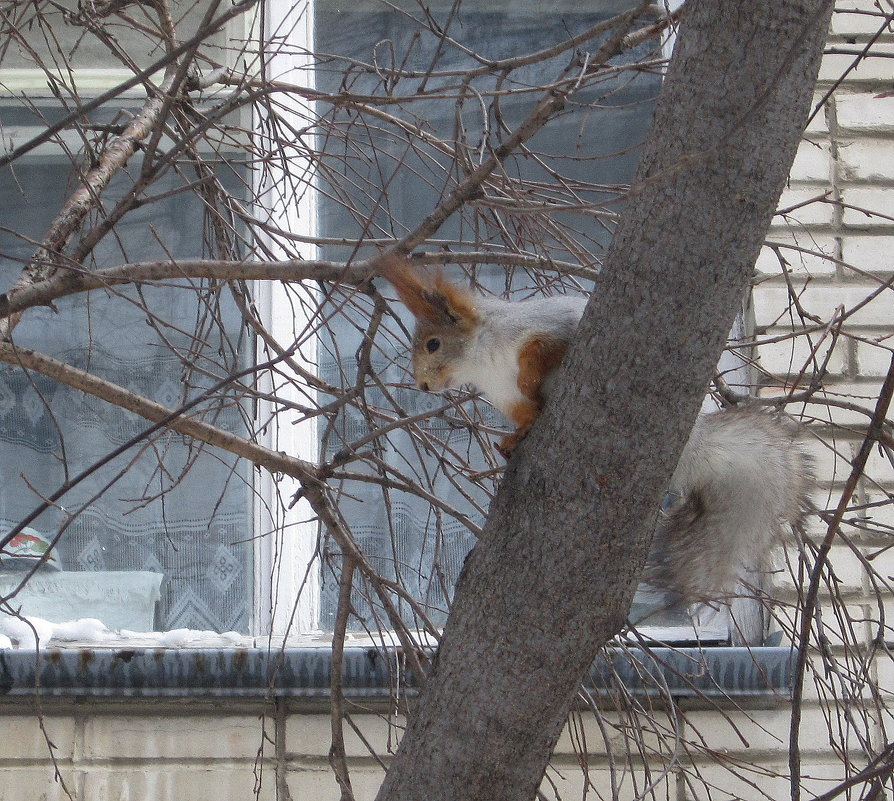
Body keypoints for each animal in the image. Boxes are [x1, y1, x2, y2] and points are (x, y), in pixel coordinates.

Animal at [382, 253, 816, 604]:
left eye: (434, 344)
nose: (423, 385)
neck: (484, 363)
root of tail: (695, 450)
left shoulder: (552, 329)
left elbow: (542, 352)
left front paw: (529, 375)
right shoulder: (506, 398)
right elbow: (524, 413)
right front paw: (512, 438)